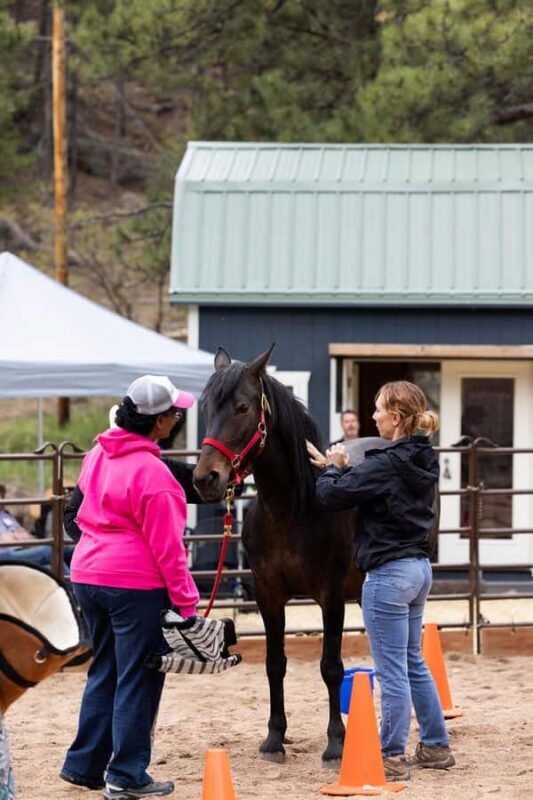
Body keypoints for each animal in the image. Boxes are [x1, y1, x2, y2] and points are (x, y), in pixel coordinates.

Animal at [193, 345, 438, 764]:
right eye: (206, 407)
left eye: (242, 407)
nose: (206, 478)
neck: (291, 510)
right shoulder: (267, 595)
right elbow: (275, 664)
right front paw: (274, 738)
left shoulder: (331, 596)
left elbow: (331, 667)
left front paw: (337, 743)